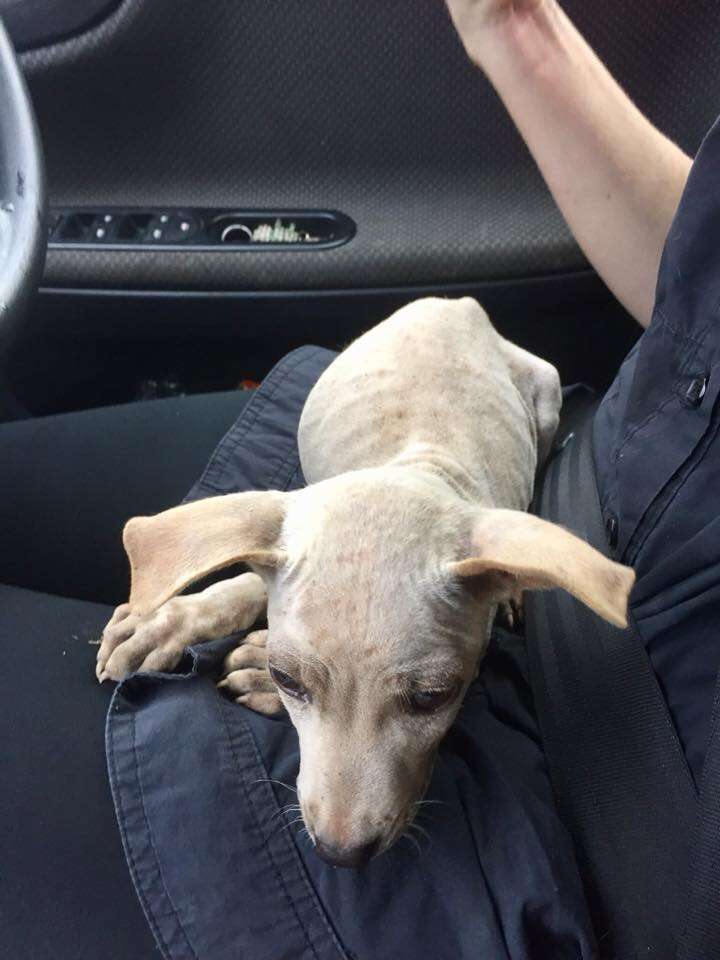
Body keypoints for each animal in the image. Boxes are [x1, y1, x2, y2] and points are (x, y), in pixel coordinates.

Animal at [95, 300, 632, 872]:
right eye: (288, 679)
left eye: (432, 698)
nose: (340, 854)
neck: (416, 470)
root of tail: (455, 304)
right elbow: (242, 588)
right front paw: (159, 624)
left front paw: (249, 669)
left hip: (547, 394)